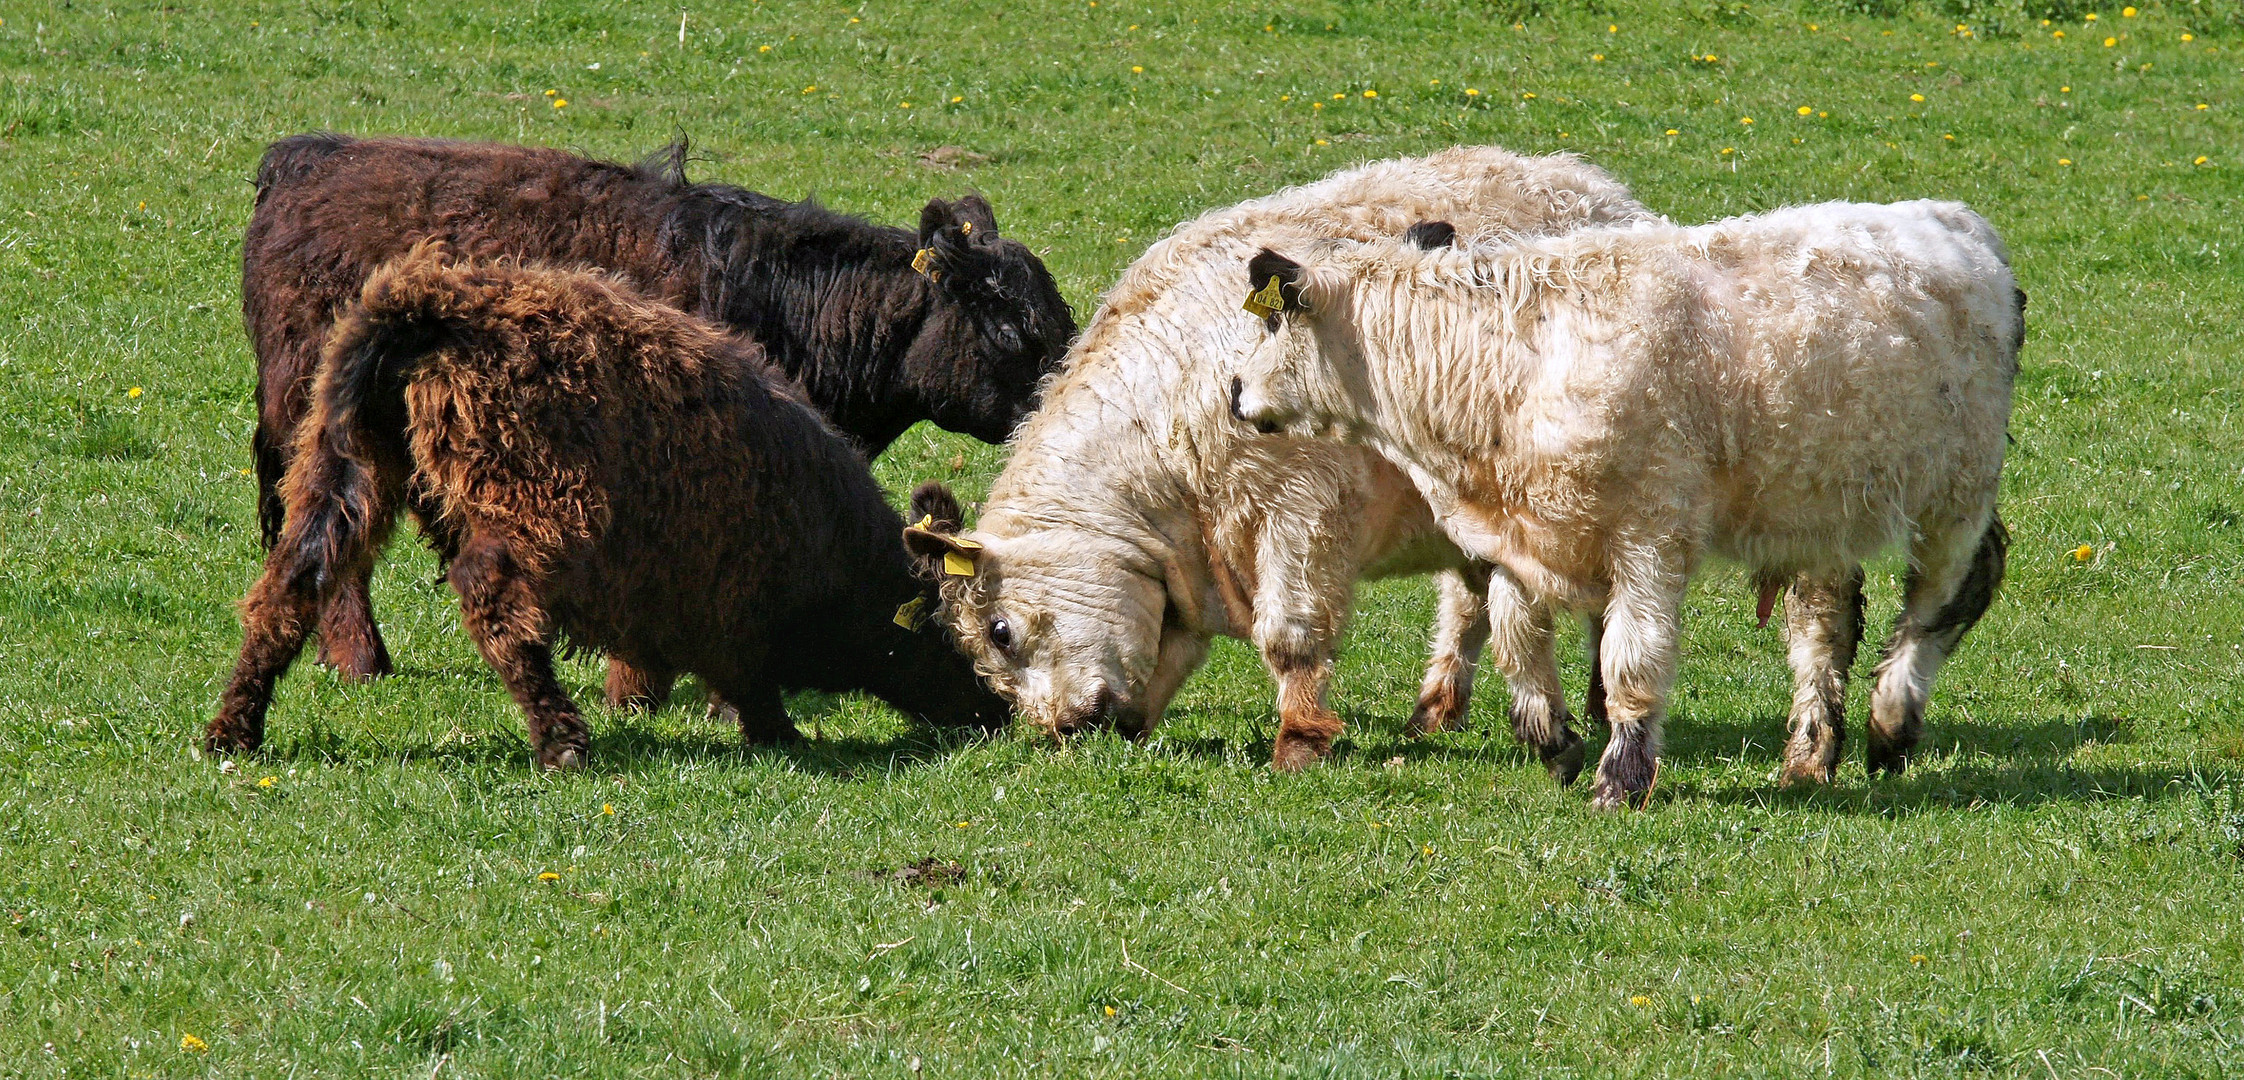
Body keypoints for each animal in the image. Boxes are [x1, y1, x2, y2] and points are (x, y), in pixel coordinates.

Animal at [210, 244, 1009, 767]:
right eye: (956, 635)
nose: (998, 715)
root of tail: (427, 306)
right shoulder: (722, 609)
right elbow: (742, 681)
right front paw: (778, 733)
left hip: (340, 478)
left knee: (287, 591)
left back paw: (234, 731)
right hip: (531, 506)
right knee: (492, 600)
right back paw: (561, 740)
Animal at [902, 147, 1660, 772]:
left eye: (1001, 631)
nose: (1063, 729)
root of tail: (1594, 188)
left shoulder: (1302, 514)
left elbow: (1291, 637)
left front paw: (1298, 741)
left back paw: (1598, 705)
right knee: (1471, 604)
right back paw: (1438, 709)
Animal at [1238, 197, 2028, 803]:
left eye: (1273, 321)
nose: (1236, 392)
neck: (1508, 365)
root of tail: (1962, 224)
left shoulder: (1650, 535)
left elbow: (1630, 660)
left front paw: (1621, 777)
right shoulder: (1521, 535)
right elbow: (1517, 641)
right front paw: (1553, 740)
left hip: (1956, 494)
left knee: (1945, 597)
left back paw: (1891, 720)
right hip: (1817, 508)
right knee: (1824, 629)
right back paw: (1809, 759)